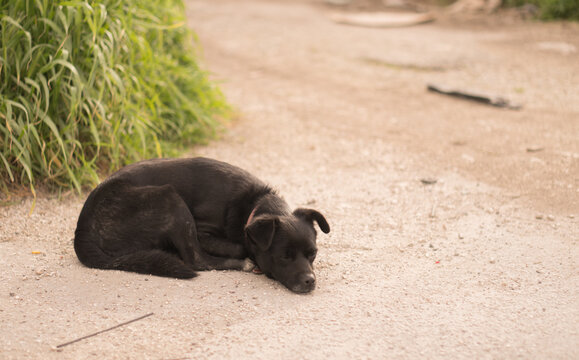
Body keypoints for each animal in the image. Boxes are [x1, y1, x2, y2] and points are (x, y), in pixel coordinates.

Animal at [72, 158, 328, 292]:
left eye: (313, 254)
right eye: (284, 256)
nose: (310, 281)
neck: (254, 205)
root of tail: (82, 230)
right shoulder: (203, 232)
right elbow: (239, 245)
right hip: (170, 198)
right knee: (197, 260)